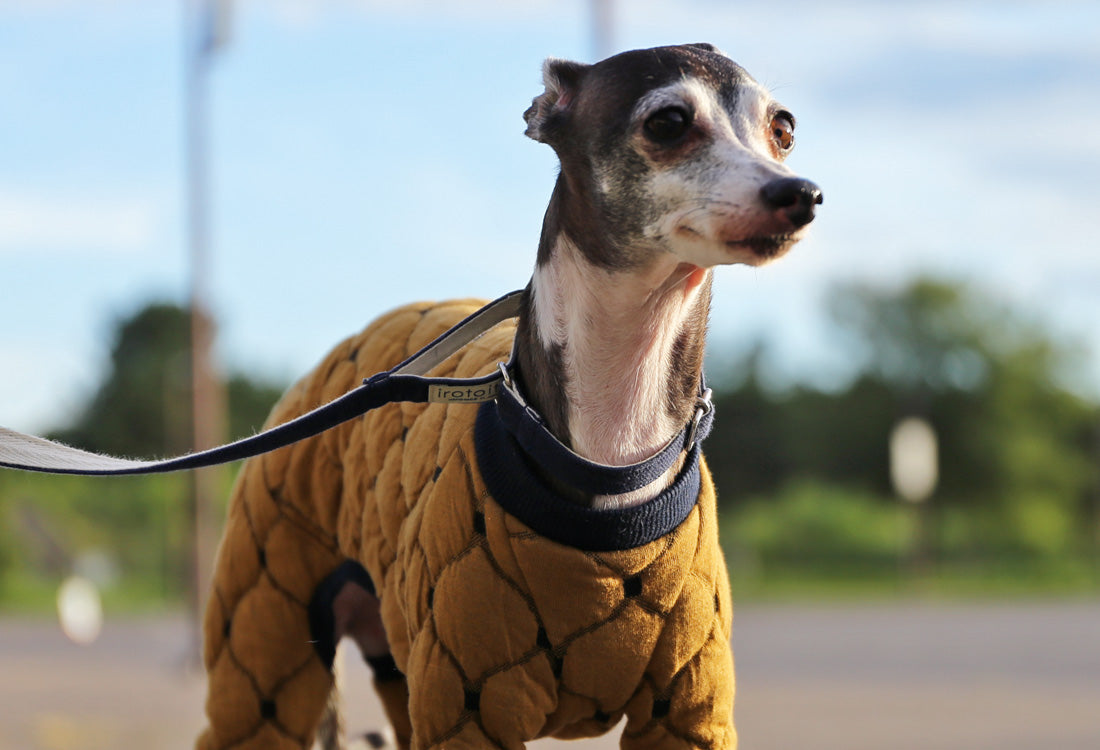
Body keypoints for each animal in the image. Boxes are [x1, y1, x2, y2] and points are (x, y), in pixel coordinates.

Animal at [193, 43, 822, 743]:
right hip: (268, 635)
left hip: (392, 665)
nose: (800, 194)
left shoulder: (685, 709)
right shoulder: (464, 705)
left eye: (784, 127)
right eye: (668, 122)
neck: (613, 459)